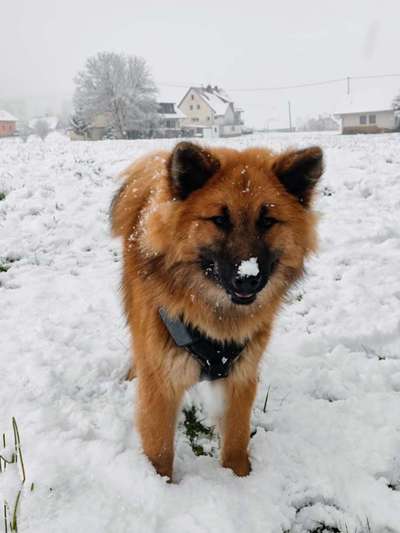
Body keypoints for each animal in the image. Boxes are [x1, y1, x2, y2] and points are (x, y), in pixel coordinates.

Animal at [111, 140, 324, 478]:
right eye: (220, 220)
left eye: (267, 221)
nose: (248, 278)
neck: (214, 315)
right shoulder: (161, 383)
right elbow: (160, 450)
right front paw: (159, 485)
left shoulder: (241, 375)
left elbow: (236, 439)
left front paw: (240, 478)